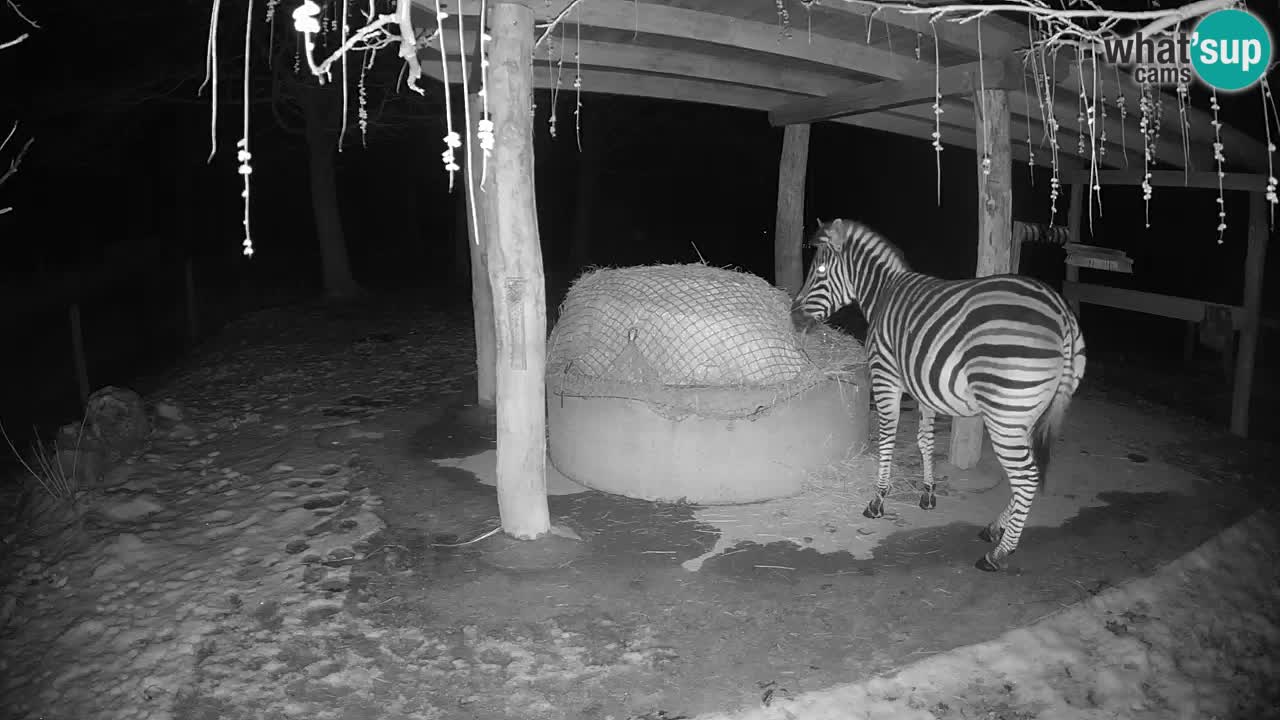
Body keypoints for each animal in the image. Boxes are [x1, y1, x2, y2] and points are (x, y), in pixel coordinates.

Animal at [793, 215, 1085, 568]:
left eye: (820, 270)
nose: (793, 317)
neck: (882, 294)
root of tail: (1062, 311)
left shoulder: (885, 375)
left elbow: (888, 437)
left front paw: (877, 500)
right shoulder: (923, 385)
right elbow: (925, 440)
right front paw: (928, 492)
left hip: (1005, 413)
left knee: (1026, 478)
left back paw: (998, 553)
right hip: (1026, 412)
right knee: (1026, 476)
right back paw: (995, 529)